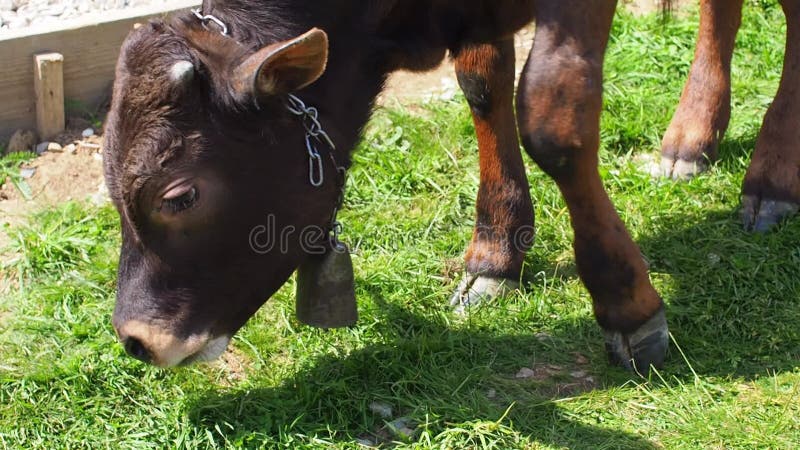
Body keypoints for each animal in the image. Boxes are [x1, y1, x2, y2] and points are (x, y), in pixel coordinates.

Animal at [106, 0, 668, 372]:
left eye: (180, 196)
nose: (136, 339)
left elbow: (553, 116)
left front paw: (627, 304)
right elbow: (482, 84)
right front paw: (496, 255)